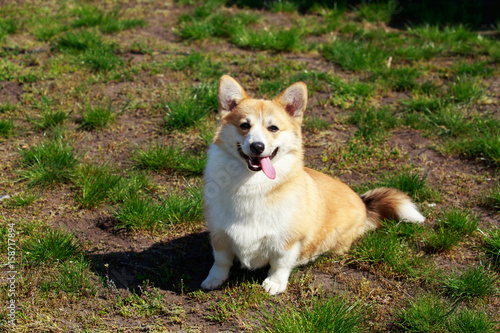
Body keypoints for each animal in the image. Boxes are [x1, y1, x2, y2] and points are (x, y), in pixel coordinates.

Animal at [201, 74, 424, 294]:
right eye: (244, 125)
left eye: (273, 128)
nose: (257, 146)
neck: (251, 184)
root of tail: (364, 204)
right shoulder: (220, 234)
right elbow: (220, 261)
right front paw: (213, 280)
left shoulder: (288, 241)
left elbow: (279, 264)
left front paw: (275, 284)